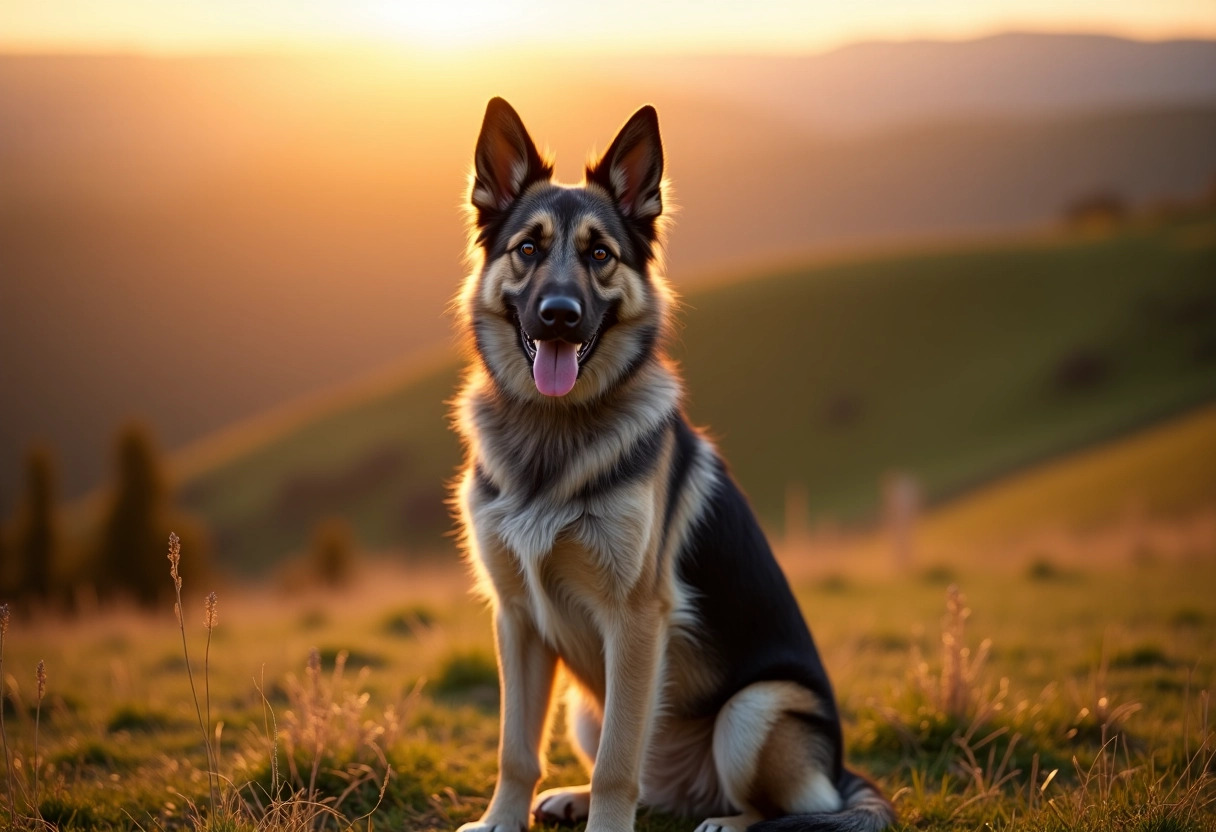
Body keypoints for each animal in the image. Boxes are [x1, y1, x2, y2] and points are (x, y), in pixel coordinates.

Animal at [454, 99, 894, 832]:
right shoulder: (515, 619)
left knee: (778, 806)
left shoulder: (635, 620)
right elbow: (515, 748)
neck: (553, 434)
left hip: (753, 711)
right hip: (584, 709)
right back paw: (577, 797)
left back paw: (727, 822)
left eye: (600, 255)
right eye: (529, 249)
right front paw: (500, 821)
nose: (559, 317)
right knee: (655, 787)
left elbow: (618, 765)